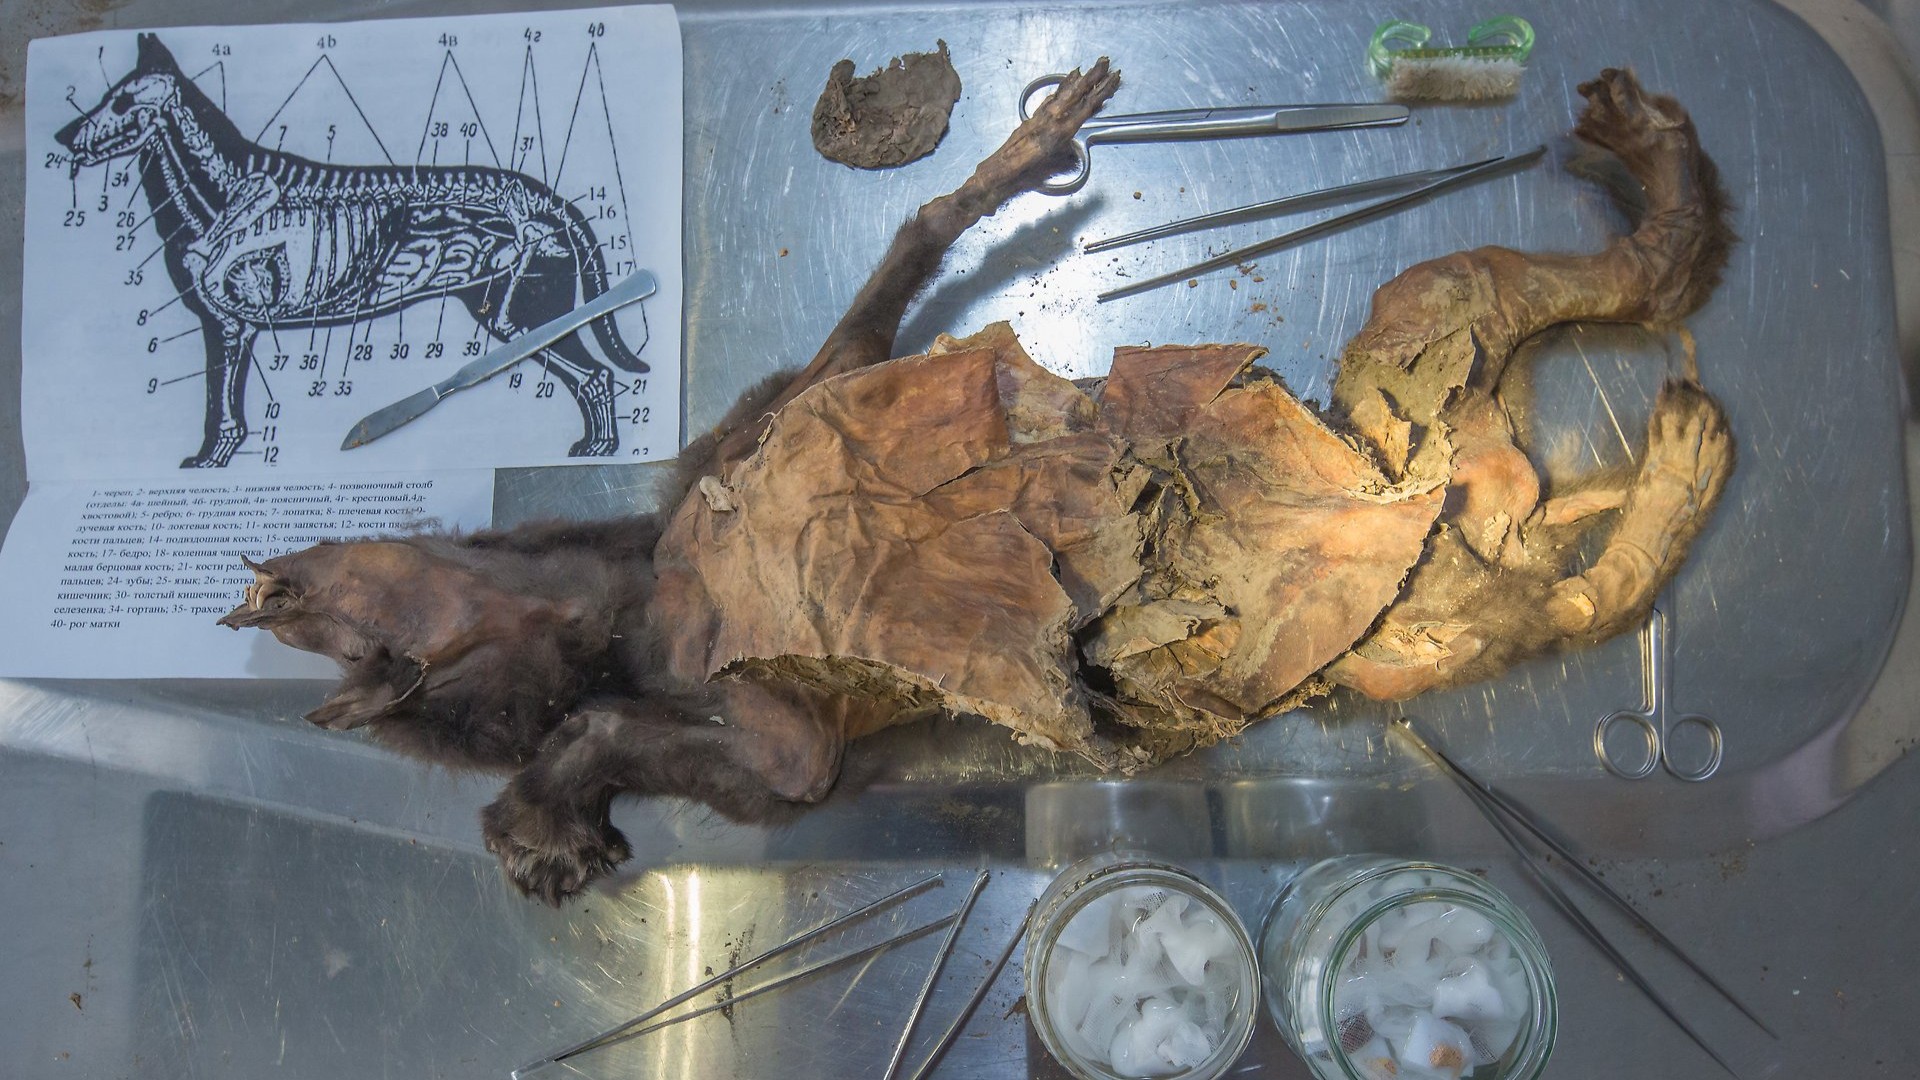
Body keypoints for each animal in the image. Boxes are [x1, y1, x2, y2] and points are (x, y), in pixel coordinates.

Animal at [57, 33, 650, 467]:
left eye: (123, 101)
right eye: (107, 95)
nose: (63, 137)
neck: (219, 192)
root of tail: (549, 201)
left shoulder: (228, 323)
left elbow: (222, 407)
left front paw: (210, 462)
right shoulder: (232, 327)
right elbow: (227, 404)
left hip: (524, 317)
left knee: (595, 377)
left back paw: (598, 449)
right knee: (595, 377)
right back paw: (598, 447)